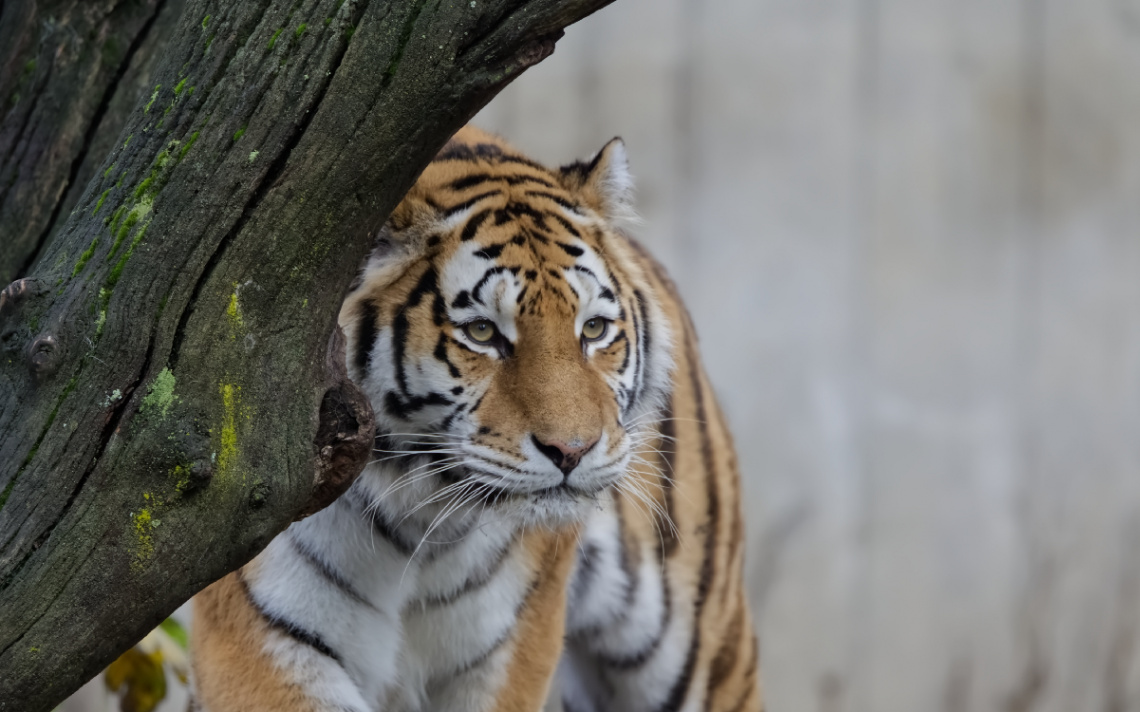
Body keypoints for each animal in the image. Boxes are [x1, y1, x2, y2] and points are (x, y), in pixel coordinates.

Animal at [191, 124, 761, 706]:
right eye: (482, 332)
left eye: (594, 329)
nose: (571, 452)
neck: (419, 524)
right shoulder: (259, 635)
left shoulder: (511, 647)